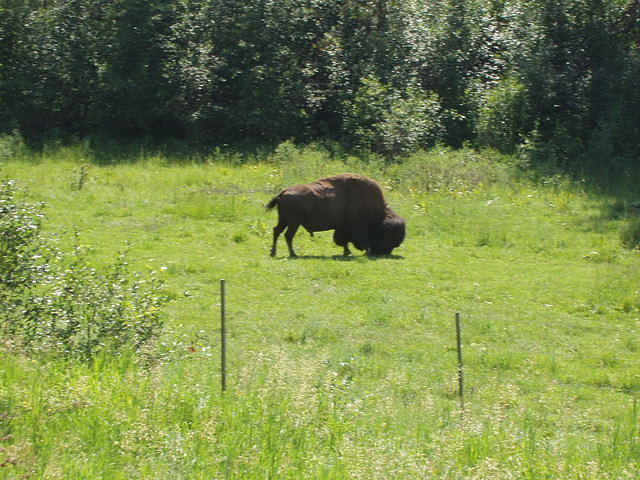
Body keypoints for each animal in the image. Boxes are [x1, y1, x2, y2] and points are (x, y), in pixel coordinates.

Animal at [266, 173, 405, 257]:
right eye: (387, 237)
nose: (384, 253)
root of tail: (284, 192)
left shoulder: (342, 228)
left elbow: (343, 241)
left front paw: (347, 252)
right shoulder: (355, 228)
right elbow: (355, 241)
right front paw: (362, 252)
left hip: (284, 220)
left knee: (277, 231)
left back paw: (273, 252)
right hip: (294, 223)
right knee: (288, 235)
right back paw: (292, 254)